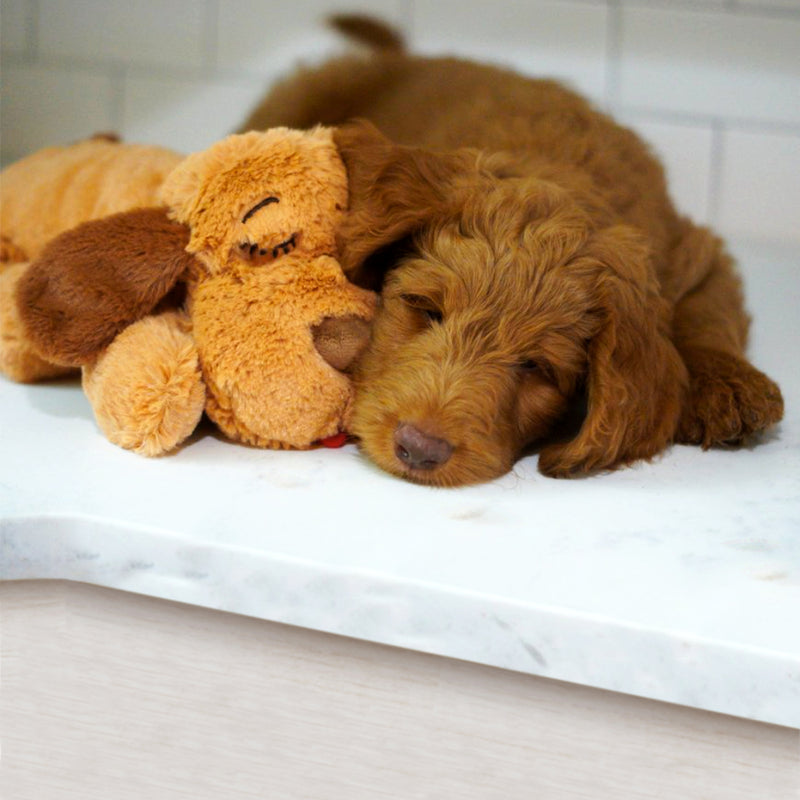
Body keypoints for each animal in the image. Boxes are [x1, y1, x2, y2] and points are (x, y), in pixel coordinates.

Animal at [242, 15, 780, 484]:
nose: (419, 449)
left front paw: (731, 385)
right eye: (424, 309)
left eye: (536, 368)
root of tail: (406, 56)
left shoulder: (688, 251)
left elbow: (706, 310)